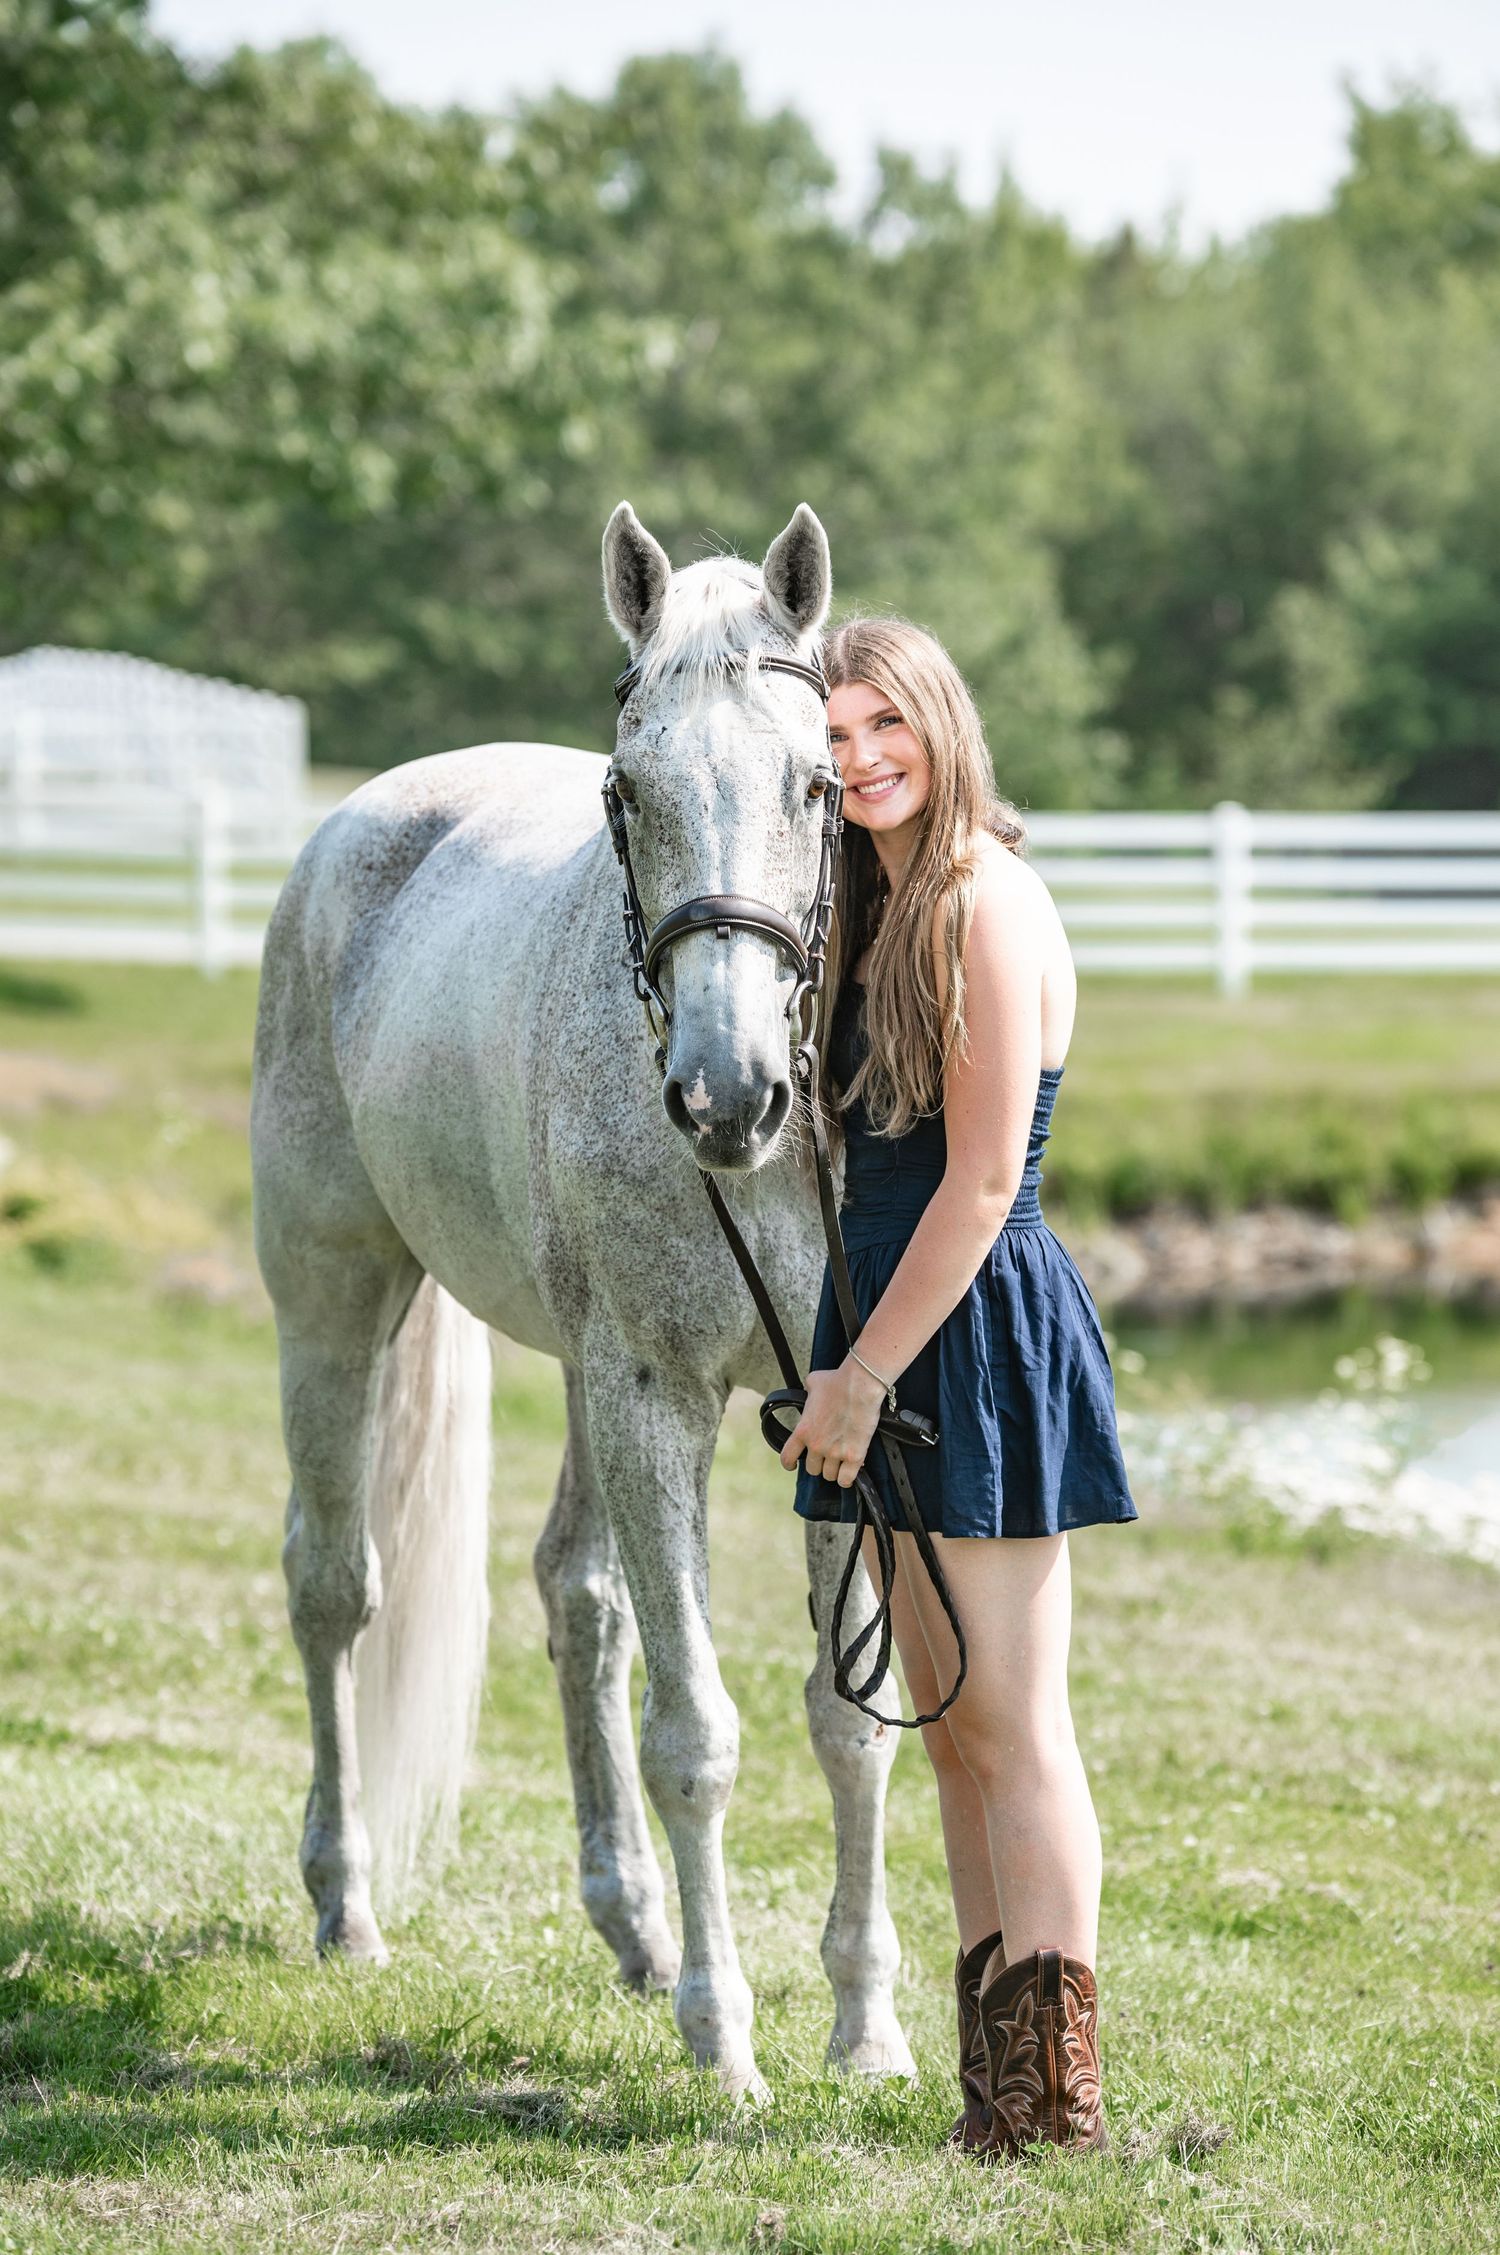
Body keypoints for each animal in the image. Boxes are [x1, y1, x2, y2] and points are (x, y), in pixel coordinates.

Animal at [249, 502, 915, 2098]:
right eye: (628, 793)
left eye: (819, 784)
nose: (729, 1096)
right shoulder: (654, 1395)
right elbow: (697, 1734)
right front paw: (727, 2045)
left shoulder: (837, 1411)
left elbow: (848, 1722)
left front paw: (867, 2028)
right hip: (335, 1302)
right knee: (332, 1583)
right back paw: (348, 1907)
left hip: (577, 1373)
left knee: (579, 1596)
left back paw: (636, 1927)